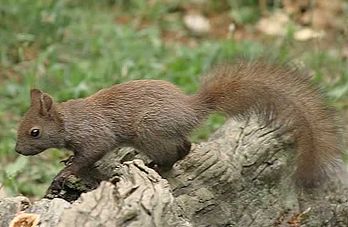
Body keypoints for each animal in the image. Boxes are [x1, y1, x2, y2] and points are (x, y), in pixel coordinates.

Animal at [15, 59, 342, 190]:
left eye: (35, 132)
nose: (17, 150)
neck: (70, 120)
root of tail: (191, 109)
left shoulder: (95, 135)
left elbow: (90, 154)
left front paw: (66, 171)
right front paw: (66, 160)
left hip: (149, 131)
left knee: (180, 149)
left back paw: (159, 166)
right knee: (184, 145)